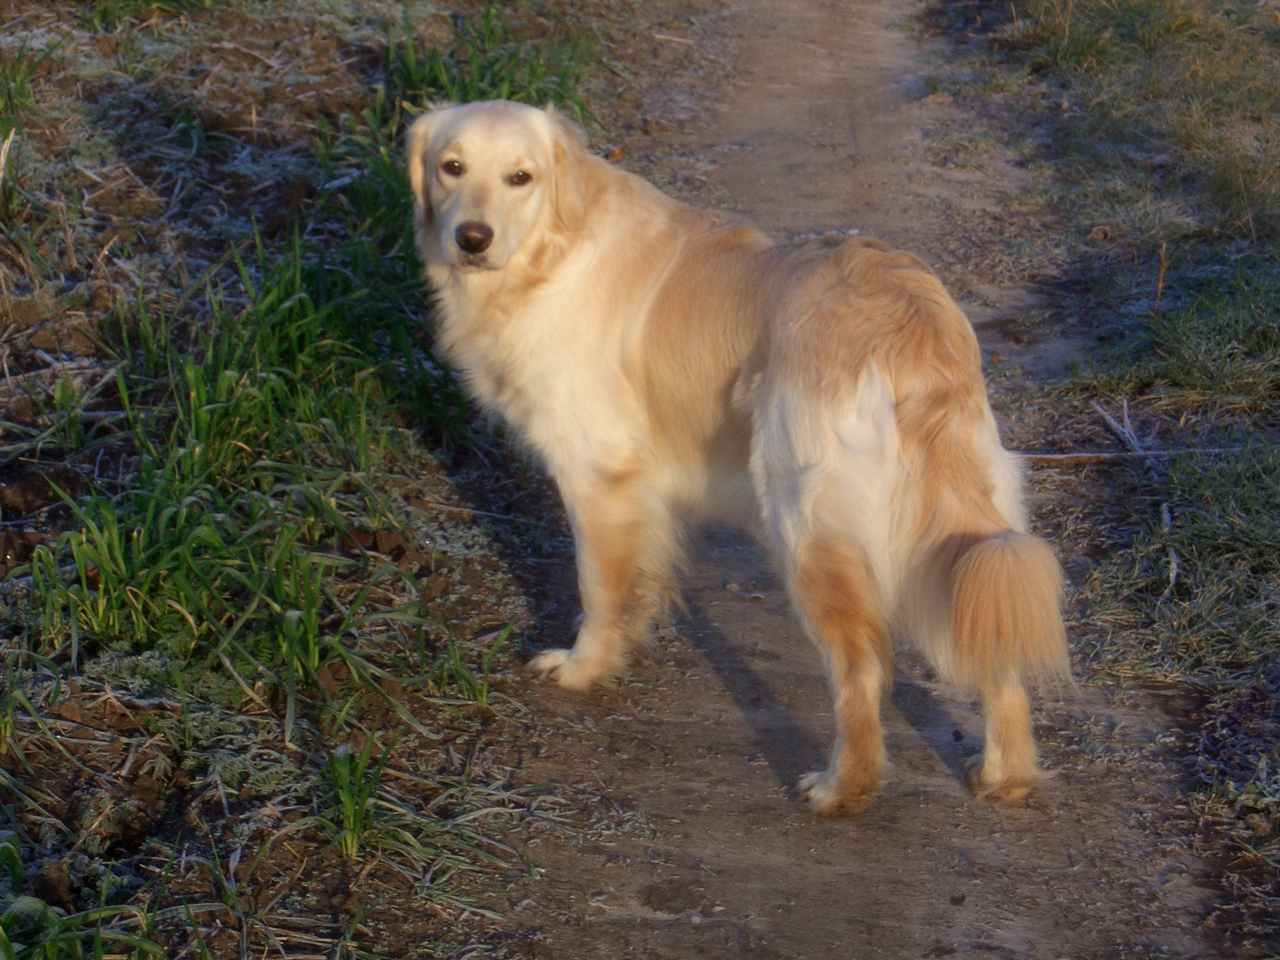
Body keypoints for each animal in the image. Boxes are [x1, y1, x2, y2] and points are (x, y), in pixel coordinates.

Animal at [407, 100, 1070, 814]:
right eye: (452, 167)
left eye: (520, 177)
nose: (472, 238)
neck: (553, 247)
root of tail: (907, 318)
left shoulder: (597, 471)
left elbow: (599, 585)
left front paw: (584, 667)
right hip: (970, 520)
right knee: (994, 640)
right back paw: (1005, 775)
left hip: (803, 520)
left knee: (863, 666)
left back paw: (842, 789)